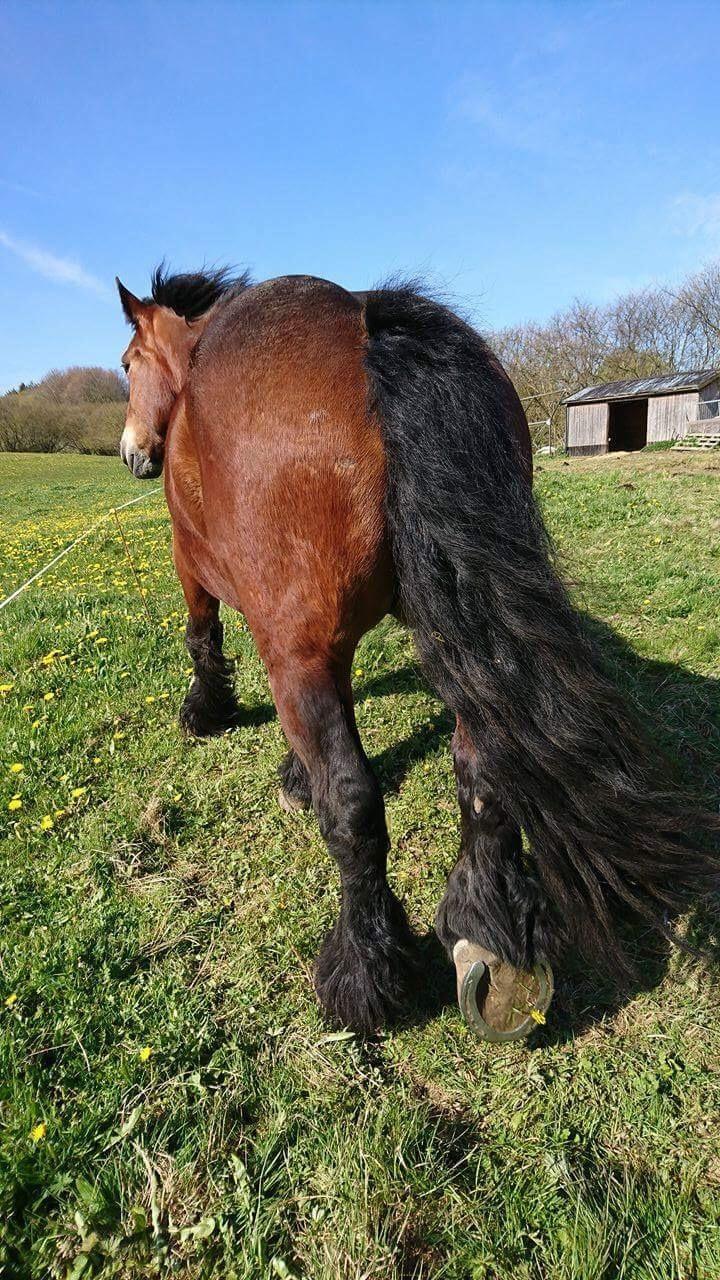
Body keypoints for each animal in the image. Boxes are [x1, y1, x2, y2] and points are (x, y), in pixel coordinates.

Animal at [114, 267, 712, 1039]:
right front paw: (294, 773)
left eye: (128, 364)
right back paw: (490, 935)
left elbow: (203, 637)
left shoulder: (200, 571)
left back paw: (363, 973)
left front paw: (209, 714)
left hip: (302, 649)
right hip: (462, 639)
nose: (133, 452)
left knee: (354, 804)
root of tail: (368, 327)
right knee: (483, 771)